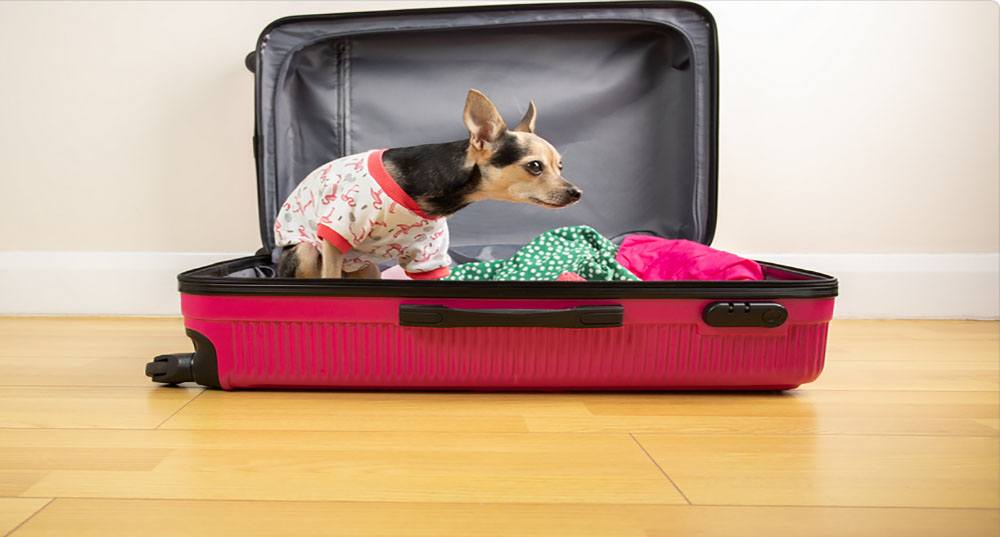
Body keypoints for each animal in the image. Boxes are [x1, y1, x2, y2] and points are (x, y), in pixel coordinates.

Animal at [274, 87, 584, 280]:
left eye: (560, 167)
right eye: (535, 166)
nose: (577, 192)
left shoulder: (427, 254)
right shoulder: (336, 236)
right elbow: (330, 273)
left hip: (369, 270)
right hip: (305, 252)